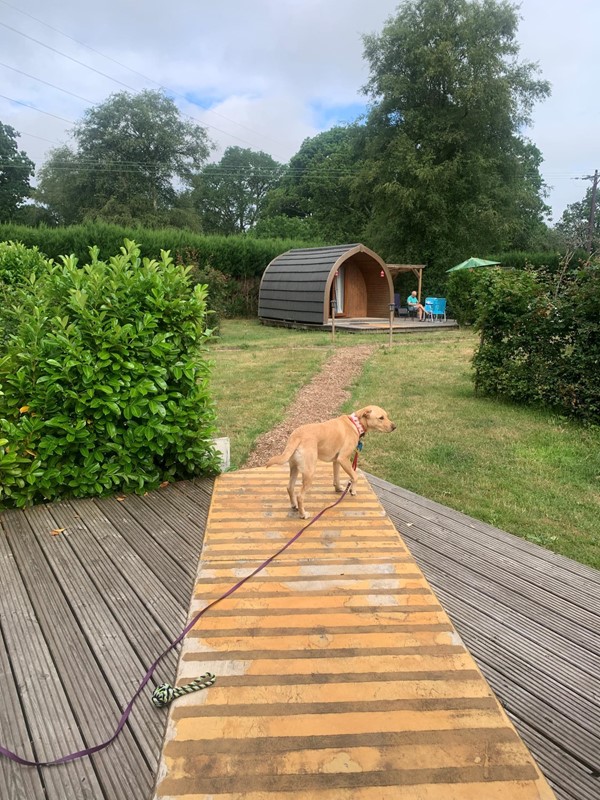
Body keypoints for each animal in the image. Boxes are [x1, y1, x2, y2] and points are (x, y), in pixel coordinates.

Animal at [266, 406, 396, 520]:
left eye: (386, 416)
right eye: (381, 417)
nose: (394, 427)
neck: (355, 424)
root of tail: (296, 436)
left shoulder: (336, 461)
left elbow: (336, 477)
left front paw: (338, 488)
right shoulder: (343, 459)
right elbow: (355, 476)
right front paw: (352, 490)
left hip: (294, 468)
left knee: (289, 488)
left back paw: (294, 506)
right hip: (309, 473)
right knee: (300, 496)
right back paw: (303, 515)